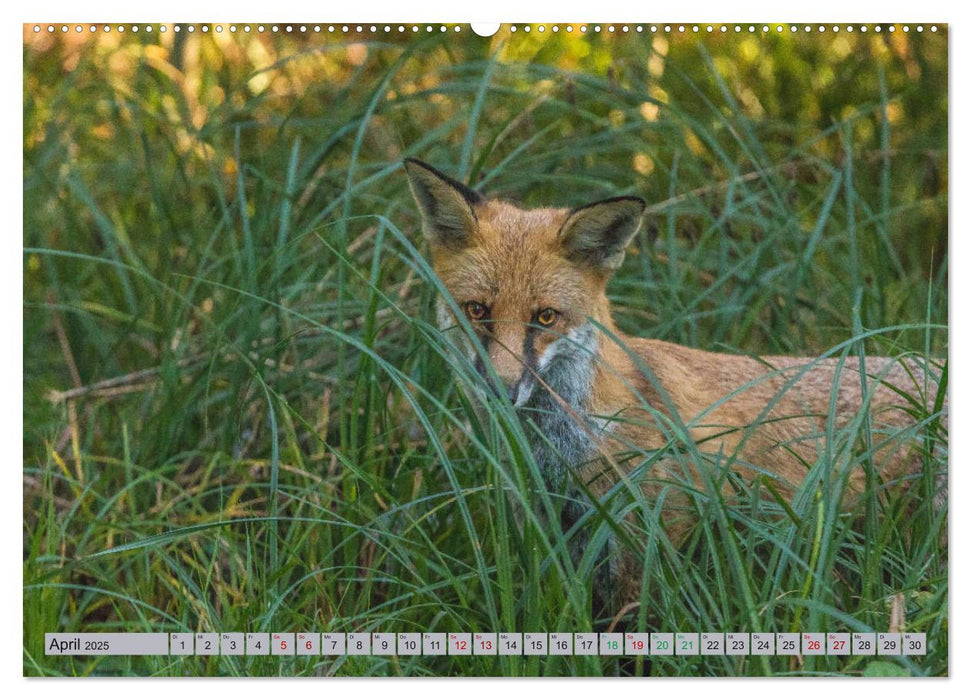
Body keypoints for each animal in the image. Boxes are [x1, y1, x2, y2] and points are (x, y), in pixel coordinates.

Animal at [402, 157, 948, 608]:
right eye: (477, 311)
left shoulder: (645, 538)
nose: (502, 389)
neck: (565, 446)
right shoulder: (552, 534)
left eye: (546, 317)